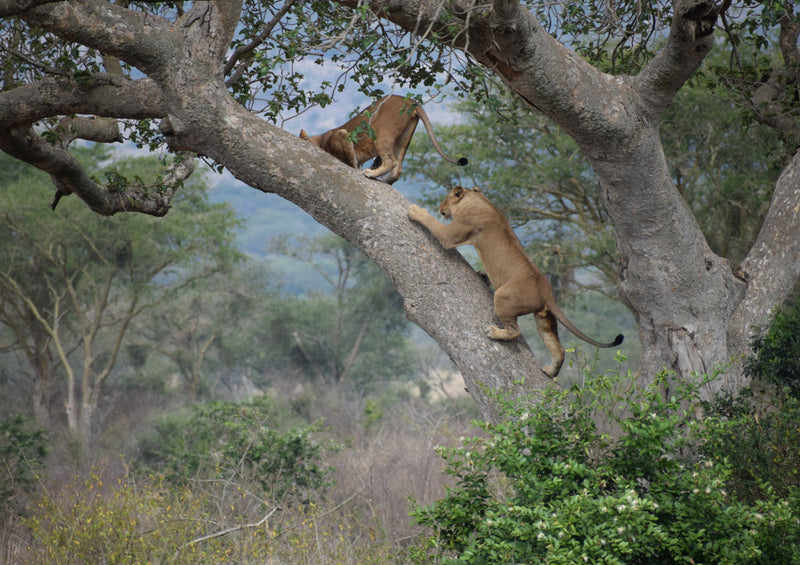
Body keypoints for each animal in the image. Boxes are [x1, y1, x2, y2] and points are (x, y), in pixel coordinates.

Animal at [300, 95, 466, 185]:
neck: (321, 139)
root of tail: (410, 101)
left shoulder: (342, 135)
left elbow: (351, 160)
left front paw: (357, 168)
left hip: (382, 132)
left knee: (390, 161)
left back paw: (371, 173)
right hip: (403, 139)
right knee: (397, 169)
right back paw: (384, 180)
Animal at [406, 186, 624, 378]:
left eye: (445, 199)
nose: (440, 208)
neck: (478, 200)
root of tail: (547, 291)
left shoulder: (451, 235)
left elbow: (432, 223)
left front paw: (415, 210)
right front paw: (482, 274)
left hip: (503, 297)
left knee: (515, 331)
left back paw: (495, 332)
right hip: (544, 319)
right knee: (559, 349)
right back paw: (550, 372)